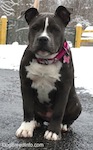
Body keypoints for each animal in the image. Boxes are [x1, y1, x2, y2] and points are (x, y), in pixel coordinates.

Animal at [15, 5, 81, 141]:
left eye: (55, 29)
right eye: (35, 28)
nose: (42, 38)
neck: (45, 61)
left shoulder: (63, 88)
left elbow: (58, 112)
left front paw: (53, 132)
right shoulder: (26, 85)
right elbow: (27, 108)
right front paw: (26, 128)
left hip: (76, 103)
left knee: (68, 118)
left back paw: (63, 125)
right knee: (37, 115)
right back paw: (36, 122)